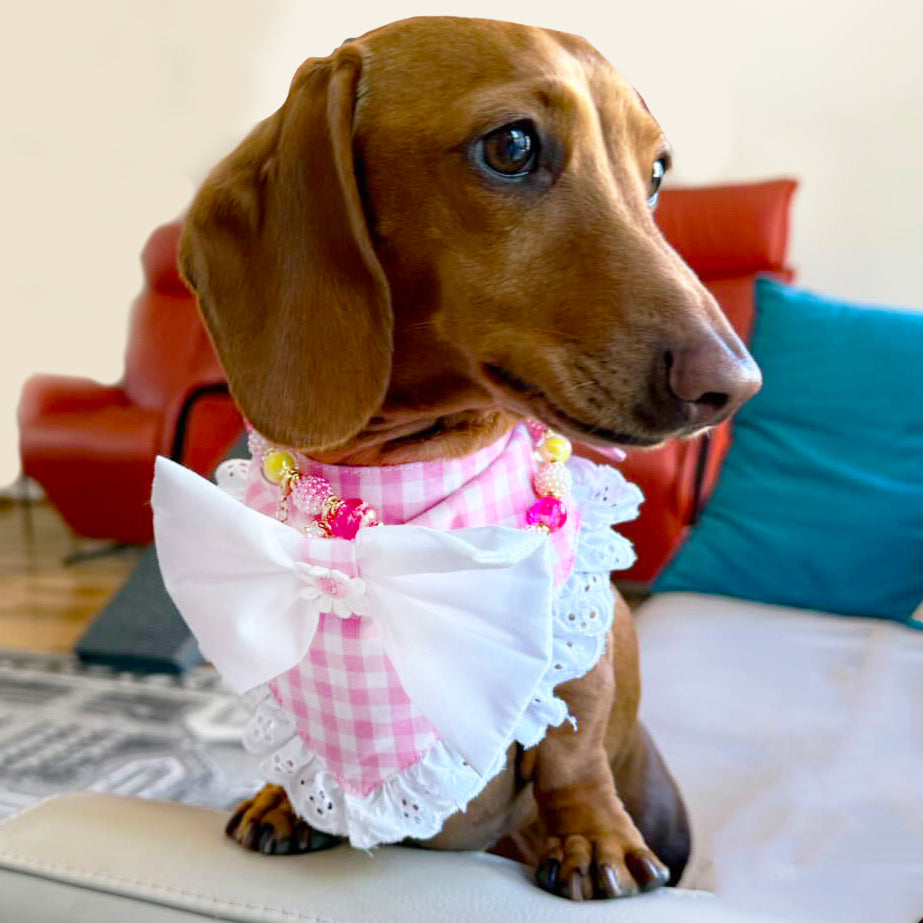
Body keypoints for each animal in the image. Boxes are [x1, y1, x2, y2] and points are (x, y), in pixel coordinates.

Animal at [177, 14, 760, 904]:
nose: (733, 386)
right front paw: (287, 797)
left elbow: (572, 742)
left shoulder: (580, 646)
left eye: (656, 171)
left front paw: (594, 836)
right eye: (511, 145)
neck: (397, 474)